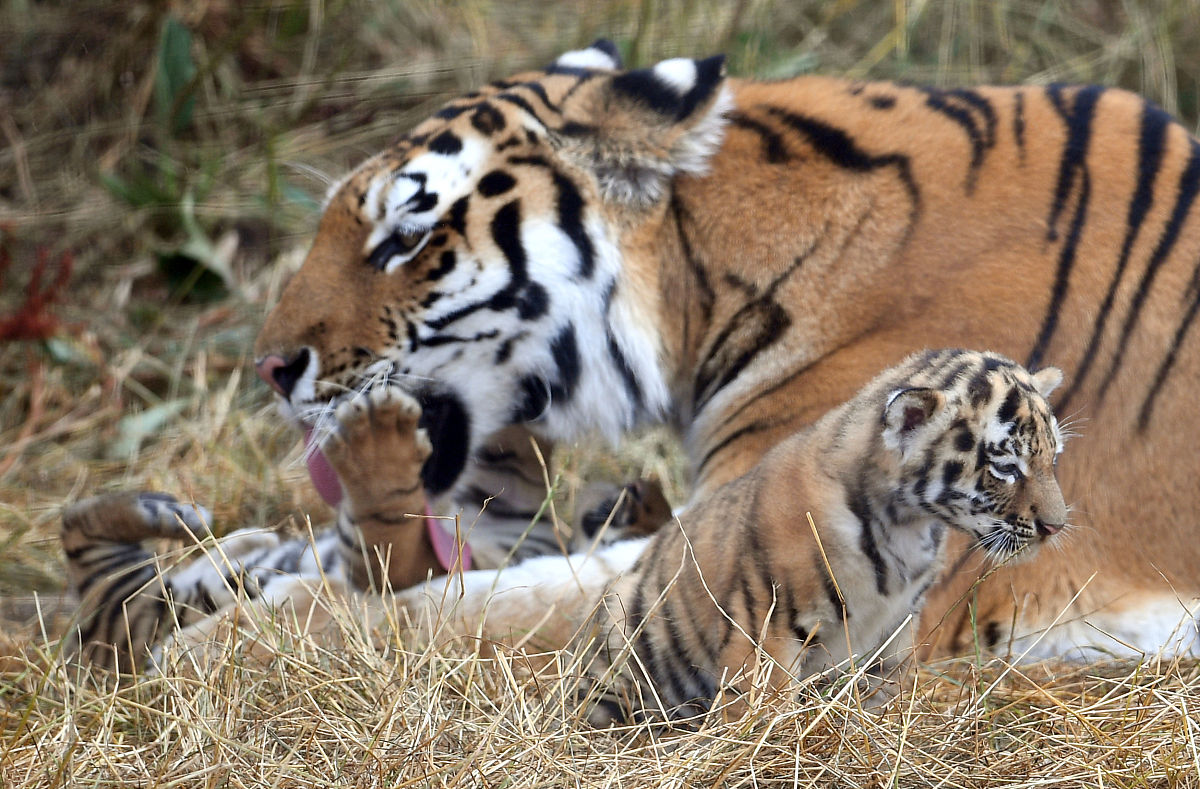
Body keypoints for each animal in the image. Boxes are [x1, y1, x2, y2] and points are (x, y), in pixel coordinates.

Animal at [396, 349, 1068, 723]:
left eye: (1052, 457)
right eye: (1006, 465)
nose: (1058, 527)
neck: (908, 527)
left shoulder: (893, 637)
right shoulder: (766, 626)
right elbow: (763, 711)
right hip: (619, 634)